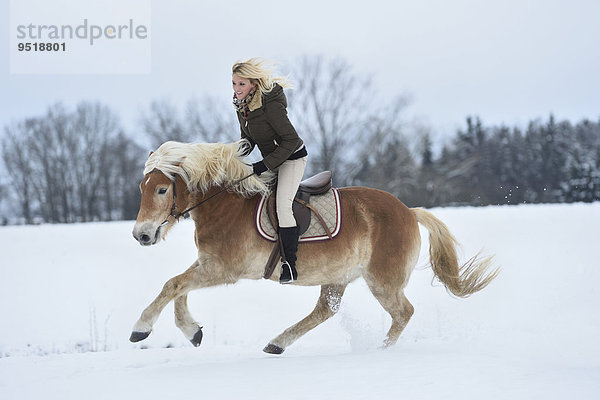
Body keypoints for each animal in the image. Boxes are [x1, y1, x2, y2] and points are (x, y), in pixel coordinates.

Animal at [132, 141, 502, 354]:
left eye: (162, 190)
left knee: (403, 312)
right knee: (327, 310)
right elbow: (177, 286)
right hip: (338, 275)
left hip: (383, 281)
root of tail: (409, 211)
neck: (225, 204)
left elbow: (173, 285)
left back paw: (381, 352)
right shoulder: (208, 264)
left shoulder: (223, 269)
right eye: (142, 187)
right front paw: (192, 332)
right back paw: (277, 344)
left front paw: (141, 328)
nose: (141, 235)